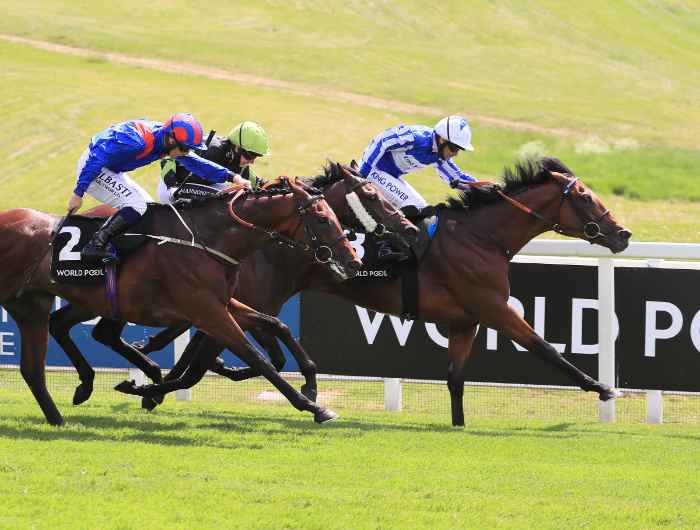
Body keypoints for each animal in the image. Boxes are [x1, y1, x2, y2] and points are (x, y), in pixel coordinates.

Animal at [0, 177, 360, 424]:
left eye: (335, 215)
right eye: (322, 218)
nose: (353, 260)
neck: (206, 240)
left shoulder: (223, 303)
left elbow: (276, 324)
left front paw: (310, 384)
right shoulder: (207, 311)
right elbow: (257, 357)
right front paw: (313, 406)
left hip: (36, 304)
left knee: (40, 356)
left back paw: (71, 403)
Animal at [50, 163, 422, 406]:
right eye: (372, 196)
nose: (410, 229)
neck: (270, 250)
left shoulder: (232, 311)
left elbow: (268, 353)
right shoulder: (219, 312)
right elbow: (209, 364)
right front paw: (151, 391)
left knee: (90, 329)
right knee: (101, 332)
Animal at [108, 155, 628, 422]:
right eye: (586, 199)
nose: (622, 234)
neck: (482, 237)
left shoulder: (465, 321)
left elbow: (456, 380)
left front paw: (458, 427)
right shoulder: (494, 308)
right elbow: (546, 348)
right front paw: (603, 387)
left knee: (210, 346)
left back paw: (151, 376)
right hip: (250, 295)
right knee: (211, 348)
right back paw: (154, 382)